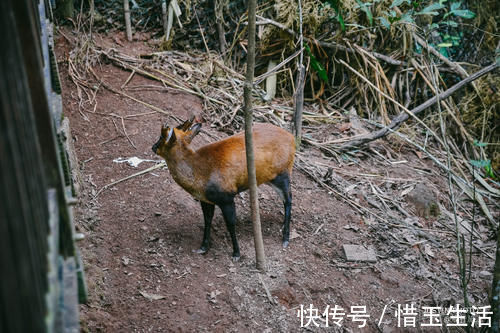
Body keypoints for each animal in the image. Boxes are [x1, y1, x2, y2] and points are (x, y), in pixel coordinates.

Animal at [150, 116, 294, 260]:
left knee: (288, 200)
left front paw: (236, 253)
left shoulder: (226, 197)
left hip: (282, 173)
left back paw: (285, 239)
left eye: (161, 137)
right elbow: (207, 220)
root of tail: (292, 139)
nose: (153, 147)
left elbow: (230, 224)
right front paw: (203, 247)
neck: (199, 173)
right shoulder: (205, 199)